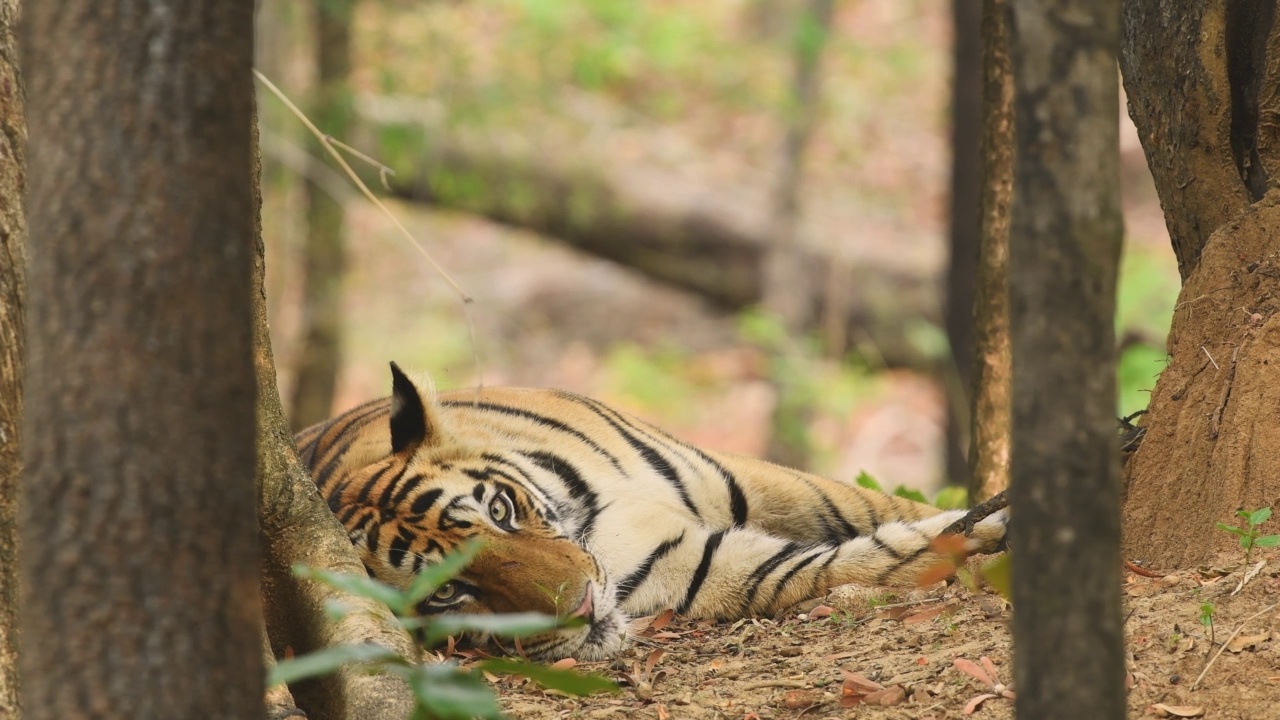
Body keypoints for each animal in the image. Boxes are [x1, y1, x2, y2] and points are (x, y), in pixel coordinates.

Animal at [296, 361, 1008, 661]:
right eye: (447, 594)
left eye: (500, 509)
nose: (584, 606)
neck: (593, 521)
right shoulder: (698, 565)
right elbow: (849, 563)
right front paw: (987, 538)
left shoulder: (745, 476)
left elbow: (872, 504)